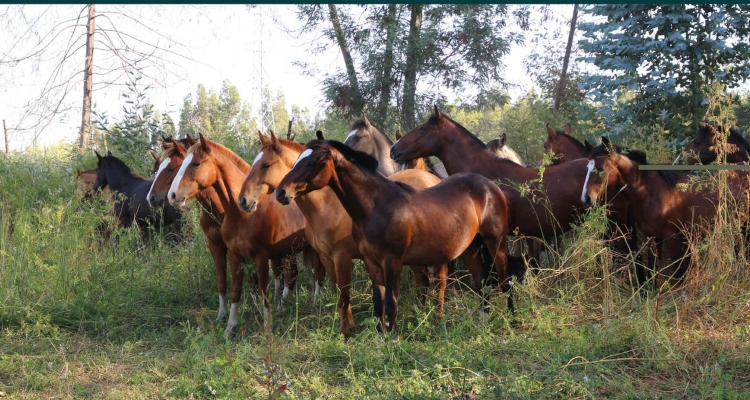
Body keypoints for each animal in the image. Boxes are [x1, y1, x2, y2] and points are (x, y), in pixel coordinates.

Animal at [167, 135, 318, 338]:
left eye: (196, 163)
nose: (172, 196)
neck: (241, 216)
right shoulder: (234, 256)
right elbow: (235, 289)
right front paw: (230, 327)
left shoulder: (261, 258)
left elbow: (263, 291)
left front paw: (267, 328)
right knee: (293, 275)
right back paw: (283, 306)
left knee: (316, 274)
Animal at [238, 131, 452, 338]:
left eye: (266, 164)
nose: (243, 200)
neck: (327, 206)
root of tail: (433, 179)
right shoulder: (326, 257)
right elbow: (338, 291)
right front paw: (349, 325)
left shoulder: (342, 256)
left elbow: (344, 294)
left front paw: (346, 331)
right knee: (422, 280)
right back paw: (420, 313)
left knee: (439, 282)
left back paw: (438, 319)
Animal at [274, 139, 524, 340]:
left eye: (314, 161)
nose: (280, 192)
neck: (376, 206)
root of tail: (490, 186)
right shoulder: (371, 262)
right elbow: (378, 301)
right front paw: (379, 338)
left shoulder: (392, 261)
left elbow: (391, 301)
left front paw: (393, 339)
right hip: (471, 248)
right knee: (482, 282)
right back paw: (483, 322)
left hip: (496, 243)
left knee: (504, 281)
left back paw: (513, 323)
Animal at [588, 137, 750, 284]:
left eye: (600, 169)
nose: (587, 199)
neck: (653, 192)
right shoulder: (652, 237)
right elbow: (653, 270)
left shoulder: (673, 239)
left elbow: (679, 274)